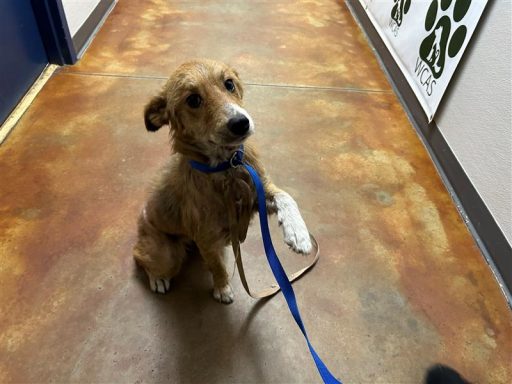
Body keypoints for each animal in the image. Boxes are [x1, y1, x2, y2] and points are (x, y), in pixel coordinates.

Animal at [133, 59, 312, 304]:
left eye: (229, 84)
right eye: (193, 100)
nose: (241, 123)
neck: (227, 167)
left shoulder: (257, 195)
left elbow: (286, 197)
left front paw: (298, 233)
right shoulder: (206, 235)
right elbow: (216, 266)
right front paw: (222, 288)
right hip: (165, 253)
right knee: (140, 256)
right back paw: (157, 279)